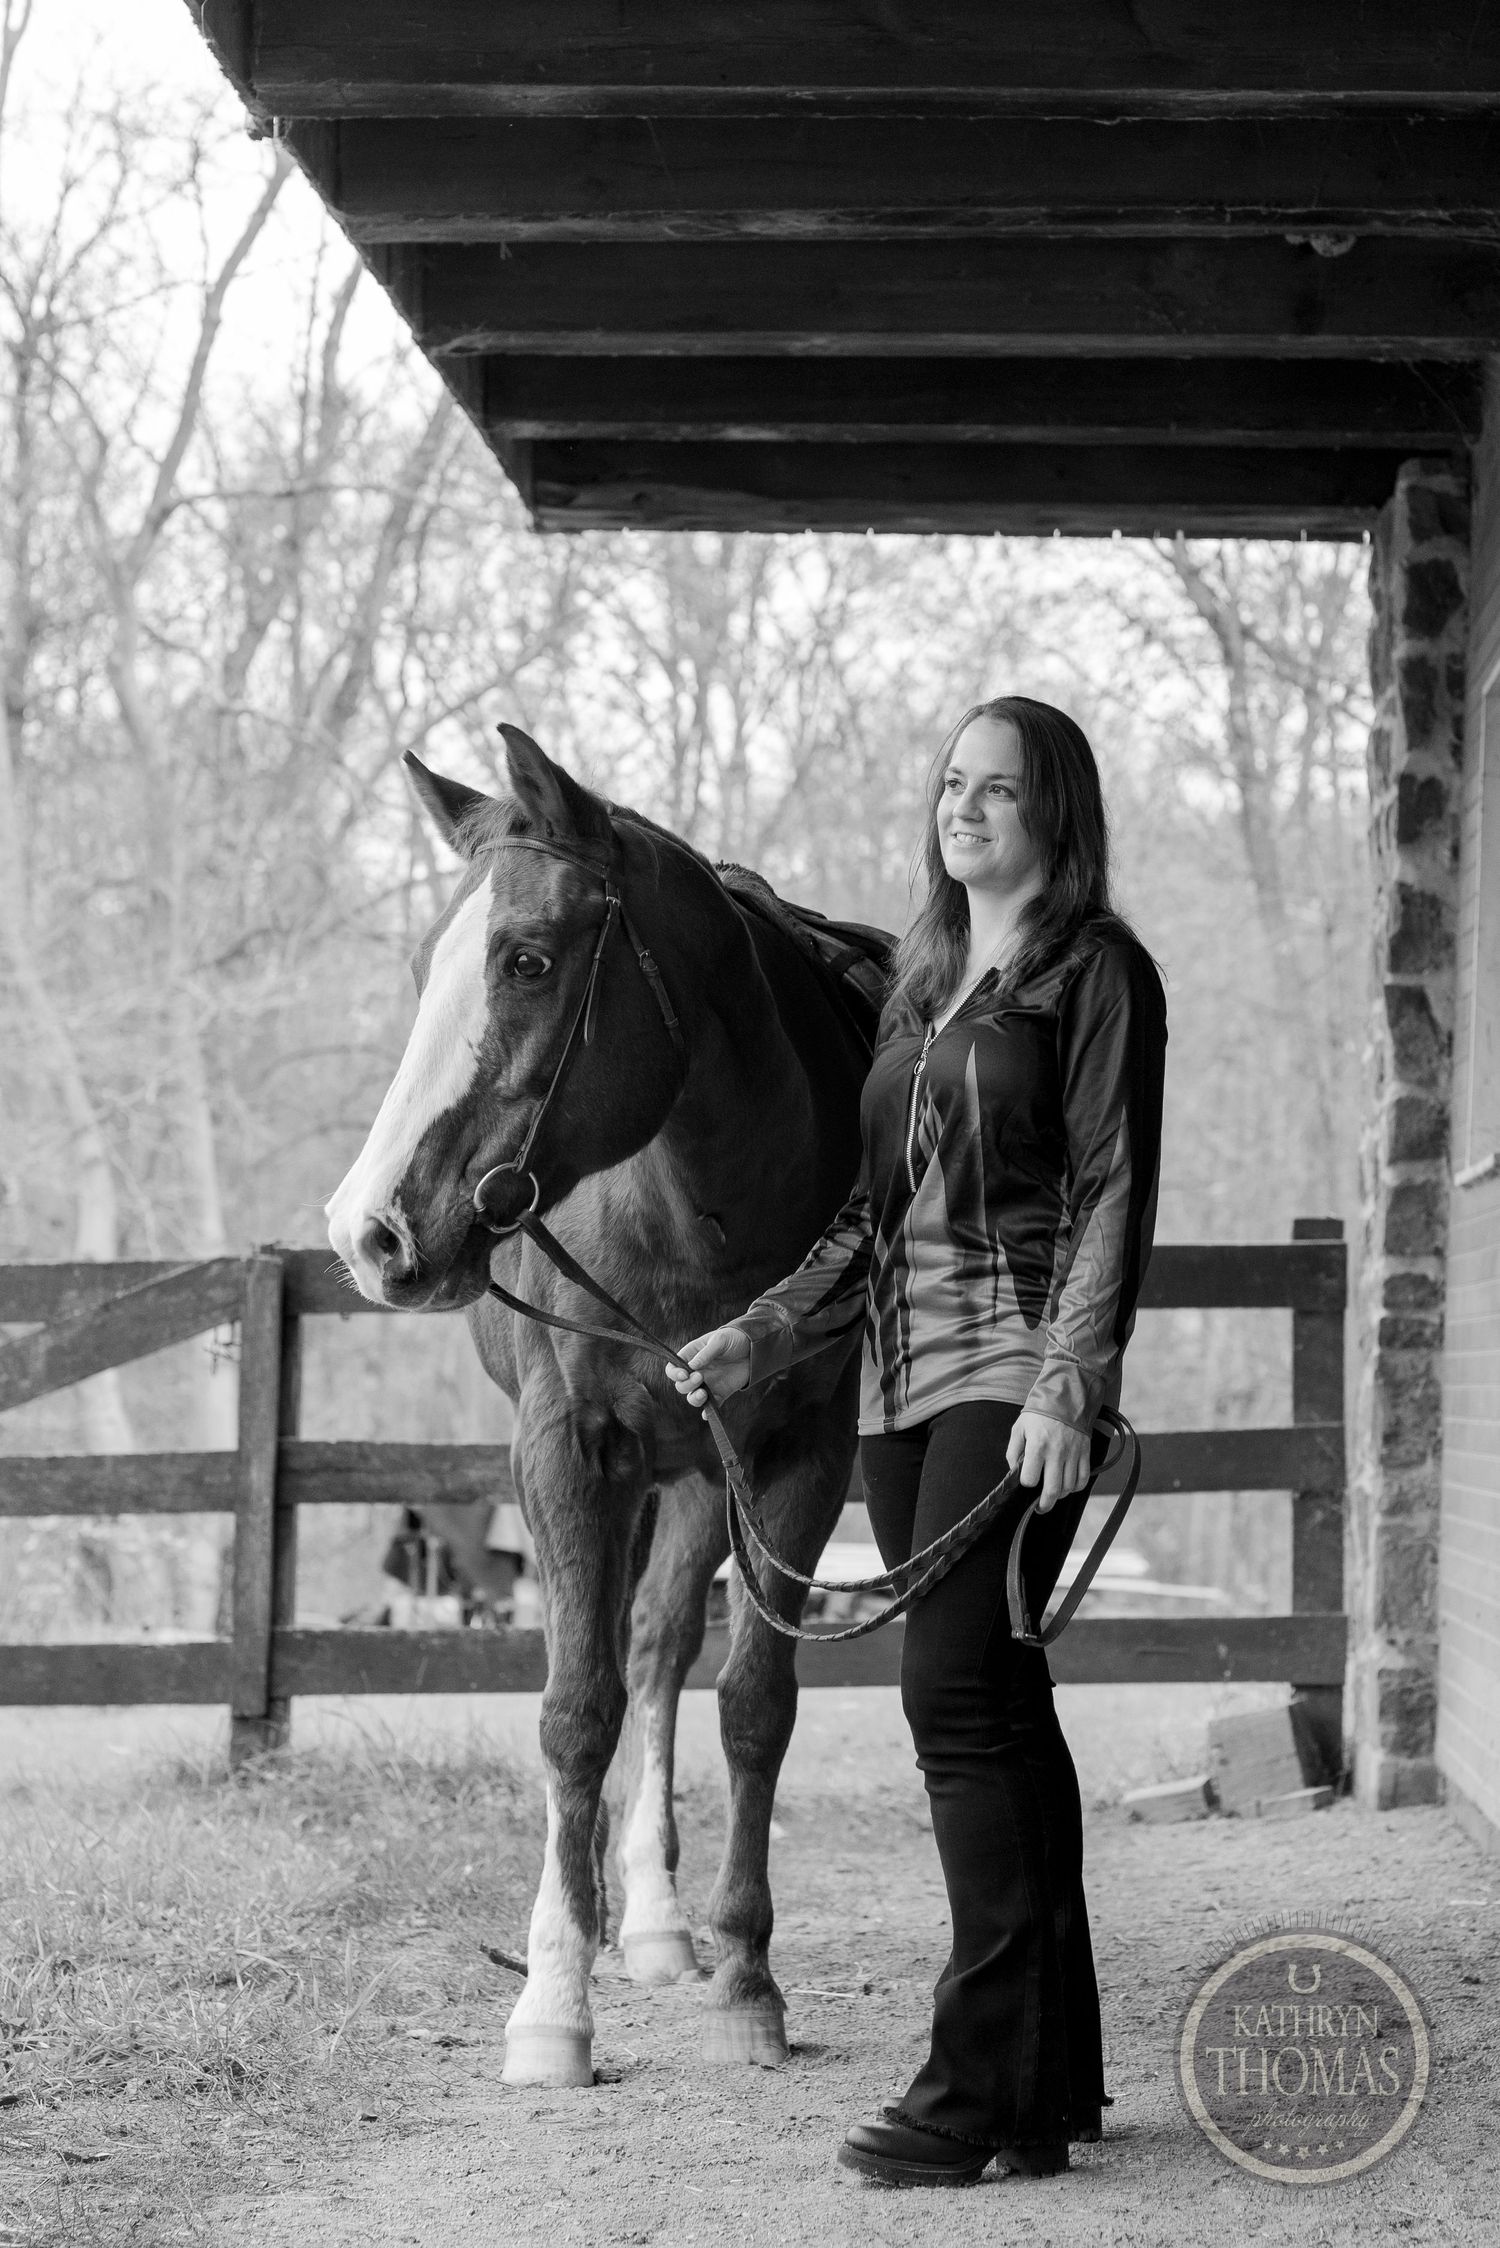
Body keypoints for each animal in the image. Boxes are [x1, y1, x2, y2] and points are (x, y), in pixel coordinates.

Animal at [325, 724, 889, 2089]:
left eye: (527, 959)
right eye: (426, 967)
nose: (368, 1231)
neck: (695, 1208)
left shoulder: (798, 1455)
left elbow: (752, 1704)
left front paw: (746, 1978)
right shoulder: (569, 1454)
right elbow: (572, 1715)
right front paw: (551, 2002)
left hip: (691, 1476)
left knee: (658, 1649)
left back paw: (657, 1919)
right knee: (607, 1670)